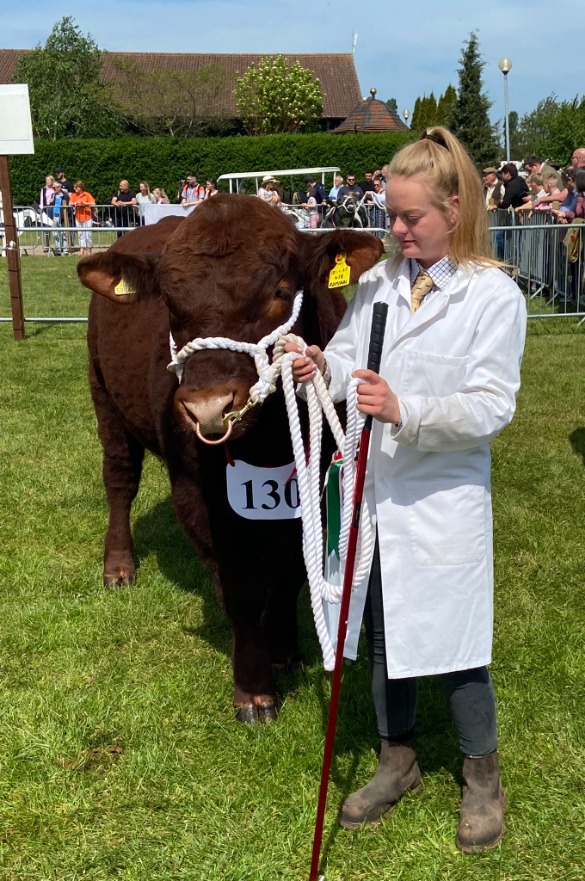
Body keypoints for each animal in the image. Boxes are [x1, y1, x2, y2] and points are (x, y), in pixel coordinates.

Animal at [77, 198, 380, 720]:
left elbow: (290, 572)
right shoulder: (196, 491)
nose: (208, 407)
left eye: (280, 291)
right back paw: (118, 565)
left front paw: (284, 650)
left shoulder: (306, 485)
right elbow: (239, 587)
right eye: (169, 303)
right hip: (104, 394)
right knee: (119, 478)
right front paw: (254, 688)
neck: (269, 440)